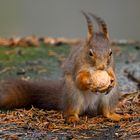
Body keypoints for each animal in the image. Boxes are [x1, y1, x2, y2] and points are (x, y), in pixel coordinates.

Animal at [0, 12, 128, 123]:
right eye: (90, 53)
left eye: (110, 53)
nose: (101, 67)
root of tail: (90, 107)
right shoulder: (78, 66)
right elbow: (79, 79)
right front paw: (89, 82)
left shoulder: (110, 66)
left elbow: (112, 73)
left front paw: (112, 80)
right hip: (73, 95)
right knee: (71, 110)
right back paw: (72, 118)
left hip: (110, 96)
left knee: (105, 111)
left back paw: (114, 115)